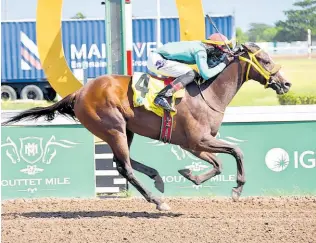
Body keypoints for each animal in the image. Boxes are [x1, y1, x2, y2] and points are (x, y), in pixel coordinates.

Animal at [2, 43, 292, 211]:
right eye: (265, 60)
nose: (286, 83)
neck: (208, 93)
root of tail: (80, 92)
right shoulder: (196, 141)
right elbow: (237, 152)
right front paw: (237, 189)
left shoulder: (195, 145)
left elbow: (219, 163)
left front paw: (191, 175)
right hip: (114, 128)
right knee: (125, 167)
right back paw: (158, 201)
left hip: (125, 130)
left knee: (122, 163)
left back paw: (157, 178)